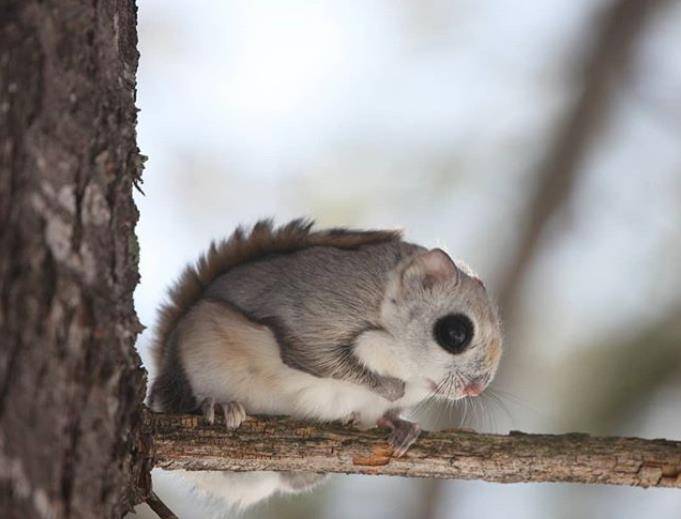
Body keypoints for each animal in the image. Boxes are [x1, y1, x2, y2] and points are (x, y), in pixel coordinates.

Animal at [147, 218, 500, 508]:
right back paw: (218, 406)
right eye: (455, 333)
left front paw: (399, 425)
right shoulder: (317, 312)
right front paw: (388, 387)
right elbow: (316, 356)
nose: (476, 388)